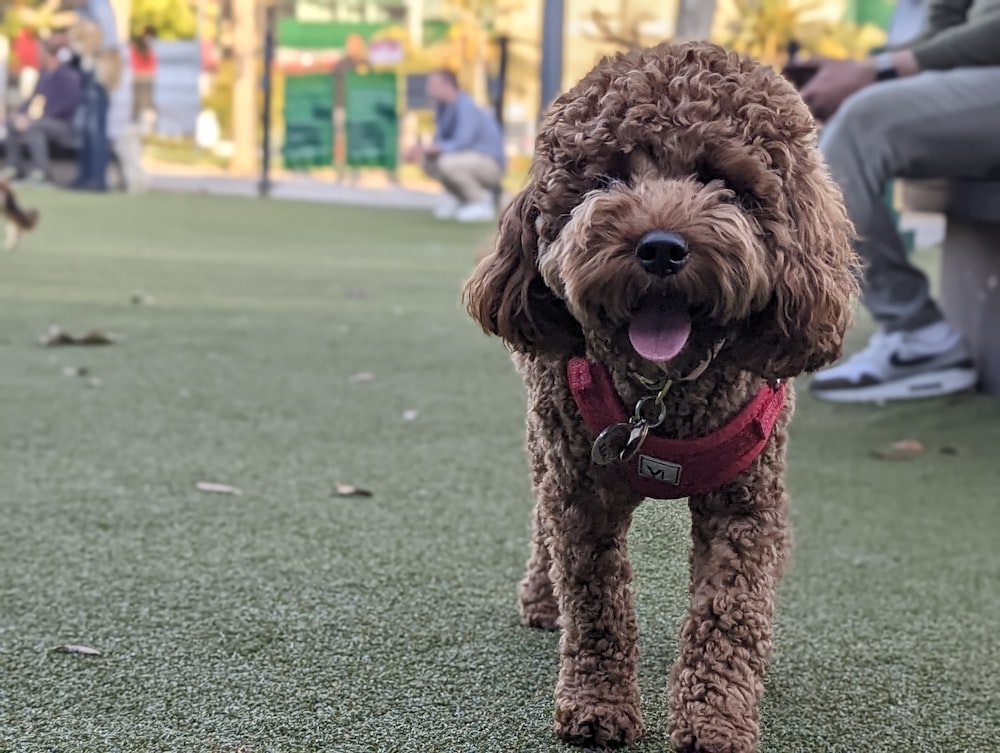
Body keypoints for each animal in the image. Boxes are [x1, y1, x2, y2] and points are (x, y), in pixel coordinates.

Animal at [460, 42, 860, 752]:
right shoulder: (583, 491)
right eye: (606, 178)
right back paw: (541, 599)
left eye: (723, 181)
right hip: (545, 439)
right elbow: (595, 603)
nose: (661, 248)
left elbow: (729, 612)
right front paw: (597, 705)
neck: (665, 395)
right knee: (542, 522)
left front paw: (716, 720)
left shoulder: (745, 504)